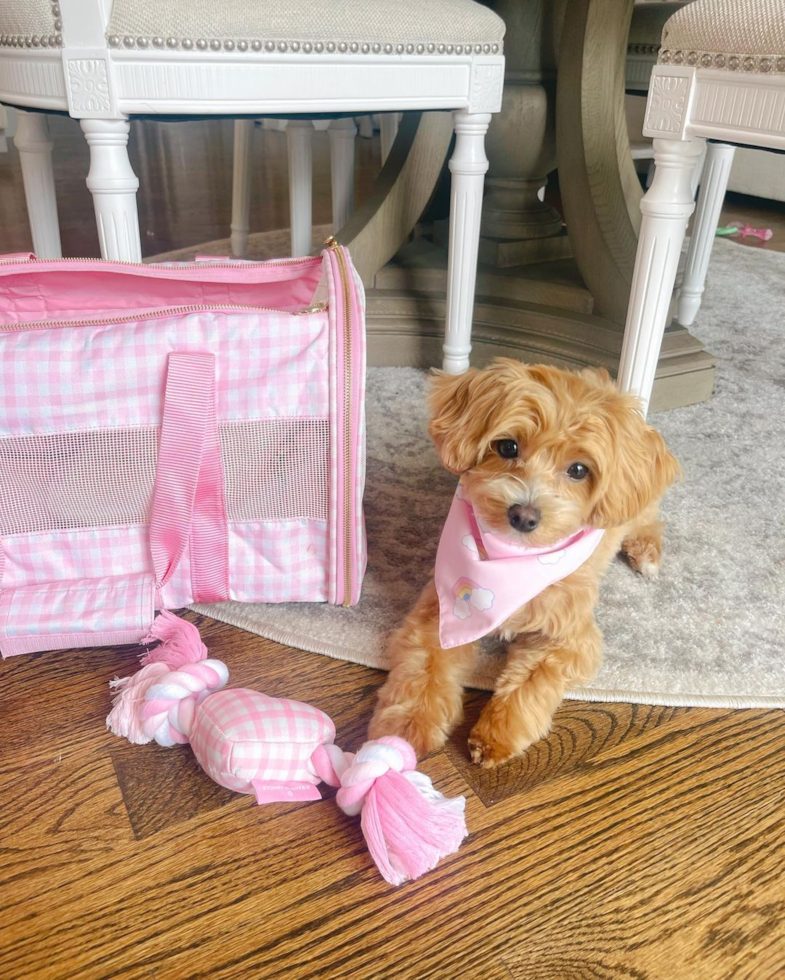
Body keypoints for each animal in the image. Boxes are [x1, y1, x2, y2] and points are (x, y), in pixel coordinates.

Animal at [370, 358, 680, 764]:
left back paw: (646, 552)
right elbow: (424, 666)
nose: (524, 515)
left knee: (648, 518)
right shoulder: (441, 610)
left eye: (578, 470)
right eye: (507, 446)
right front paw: (408, 725)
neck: (513, 560)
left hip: (636, 505)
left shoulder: (570, 638)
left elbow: (533, 681)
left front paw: (497, 733)